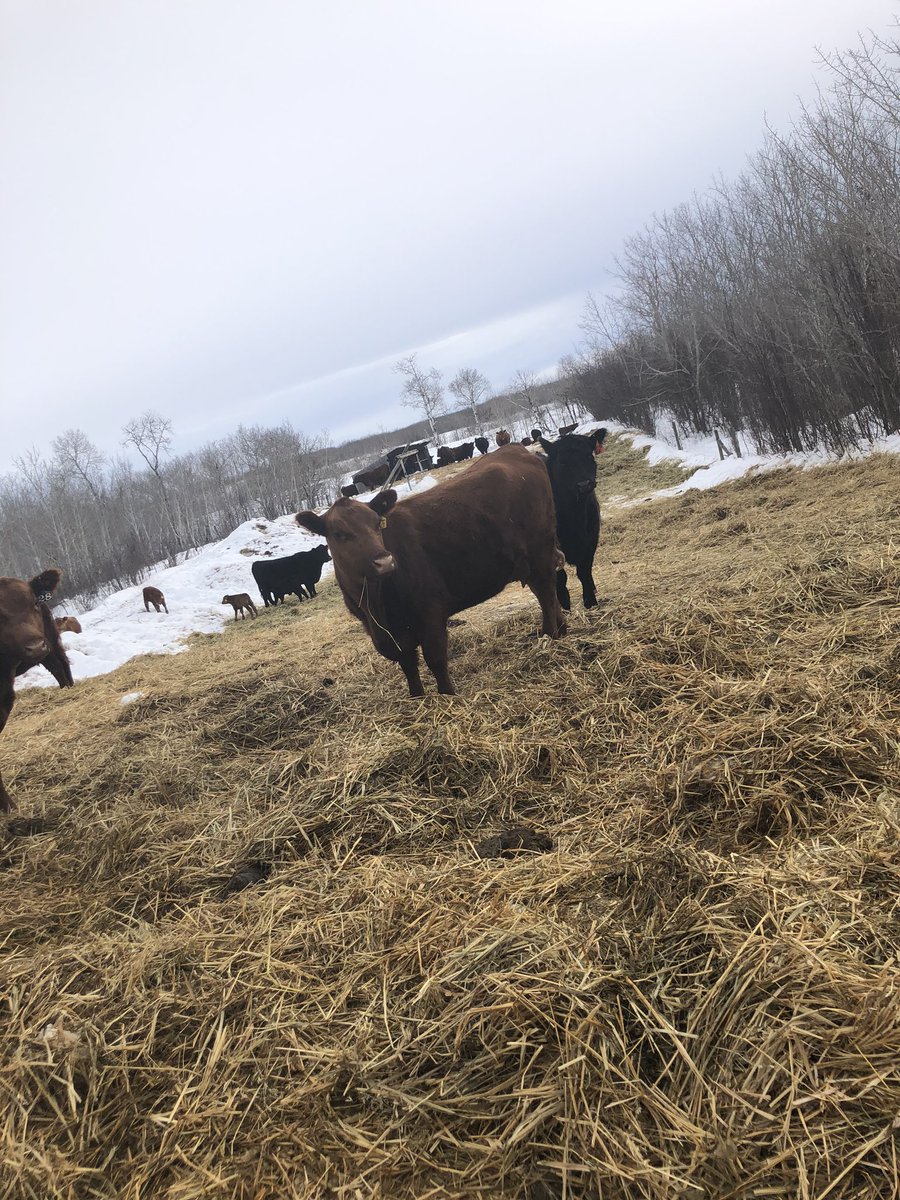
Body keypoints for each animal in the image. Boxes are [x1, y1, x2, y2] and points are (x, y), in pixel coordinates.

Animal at [296, 445, 566, 697]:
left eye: (376, 525)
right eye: (339, 534)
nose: (385, 561)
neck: (375, 603)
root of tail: (515, 450)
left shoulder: (430, 612)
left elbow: (435, 660)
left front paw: (448, 695)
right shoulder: (391, 636)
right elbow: (409, 668)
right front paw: (417, 698)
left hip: (539, 551)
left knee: (546, 592)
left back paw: (550, 636)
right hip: (527, 562)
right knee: (546, 593)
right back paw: (560, 631)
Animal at [538, 429, 608, 611]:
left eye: (589, 456)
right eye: (562, 463)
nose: (584, 484)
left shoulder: (591, 540)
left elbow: (584, 572)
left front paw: (590, 601)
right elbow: (560, 578)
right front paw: (565, 606)